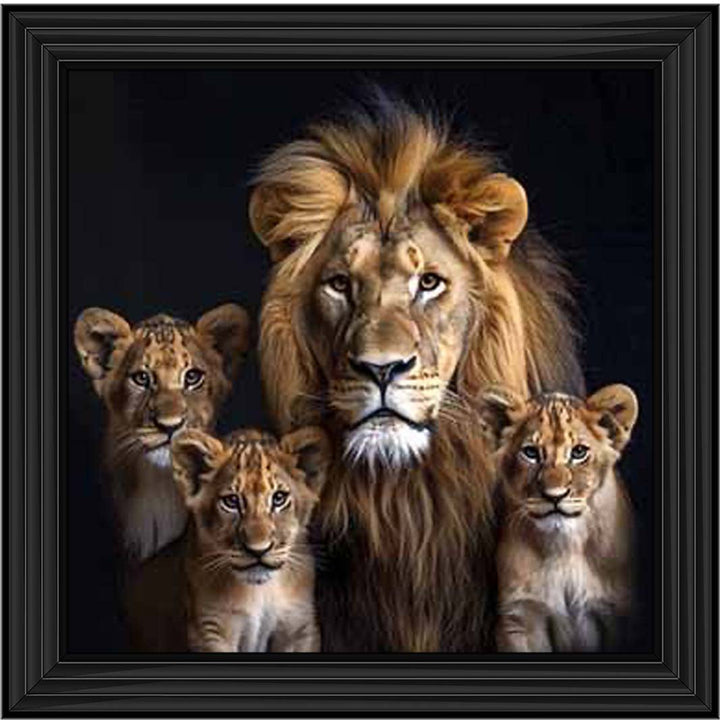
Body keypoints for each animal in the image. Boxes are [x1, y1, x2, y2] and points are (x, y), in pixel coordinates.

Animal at [125, 426, 328, 652]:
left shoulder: (300, 629)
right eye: (231, 501)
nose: (258, 550)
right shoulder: (210, 631)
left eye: (279, 498)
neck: (260, 591)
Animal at [480, 384, 638, 652]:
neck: (565, 545)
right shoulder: (520, 618)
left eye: (579, 452)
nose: (555, 496)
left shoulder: (619, 612)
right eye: (531, 453)